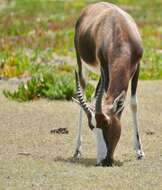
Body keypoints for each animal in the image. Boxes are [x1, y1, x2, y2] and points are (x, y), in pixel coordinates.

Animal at [72, 1, 144, 166]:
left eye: (107, 124)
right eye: (92, 128)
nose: (103, 161)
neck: (119, 32)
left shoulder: (137, 67)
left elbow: (133, 103)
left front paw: (139, 151)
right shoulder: (105, 67)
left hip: (101, 75)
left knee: (93, 98)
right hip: (83, 67)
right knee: (83, 93)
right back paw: (77, 151)